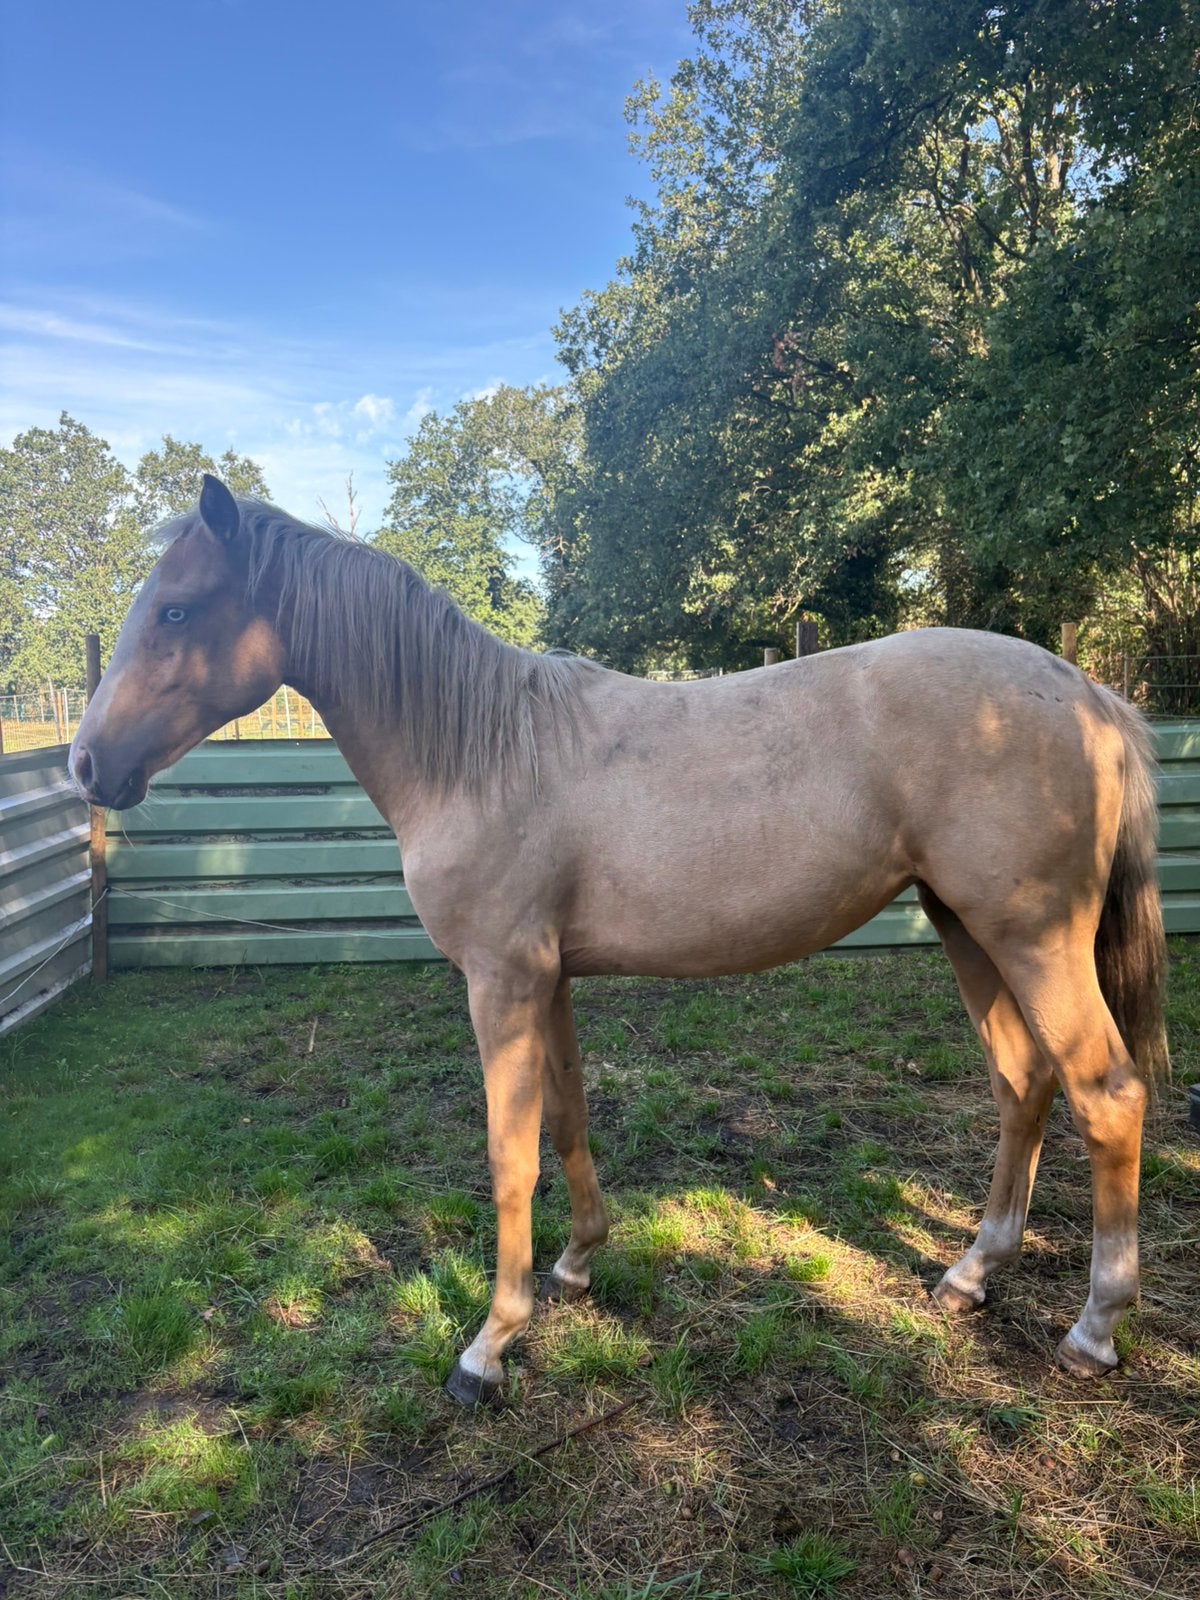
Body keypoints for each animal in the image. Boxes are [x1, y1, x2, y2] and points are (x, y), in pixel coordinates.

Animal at [70, 475, 1168, 1405]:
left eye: (176, 611)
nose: (85, 764)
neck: (481, 751)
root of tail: (1089, 695)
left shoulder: (501, 981)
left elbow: (508, 1153)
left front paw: (489, 1344)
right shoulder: (547, 979)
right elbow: (565, 1119)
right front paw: (576, 1263)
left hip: (1033, 940)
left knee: (1107, 1093)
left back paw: (1093, 1329)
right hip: (967, 928)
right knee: (1023, 1082)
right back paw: (972, 1272)